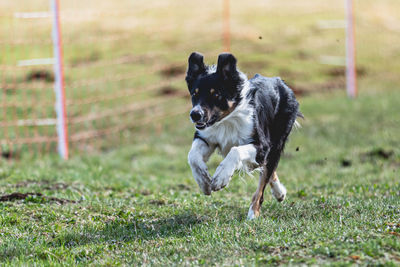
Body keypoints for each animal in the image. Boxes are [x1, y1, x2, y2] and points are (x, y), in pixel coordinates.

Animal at [186, 51, 302, 220]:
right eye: (194, 94)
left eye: (216, 94)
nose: (195, 114)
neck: (226, 120)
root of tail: (279, 81)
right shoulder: (206, 137)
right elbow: (192, 156)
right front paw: (204, 182)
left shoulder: (262, 145)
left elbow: (235, 151)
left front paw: (220, 178)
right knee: (267, 169)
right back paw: (279, 193)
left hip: (277, 140)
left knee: (264, 178)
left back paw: (254, 212)